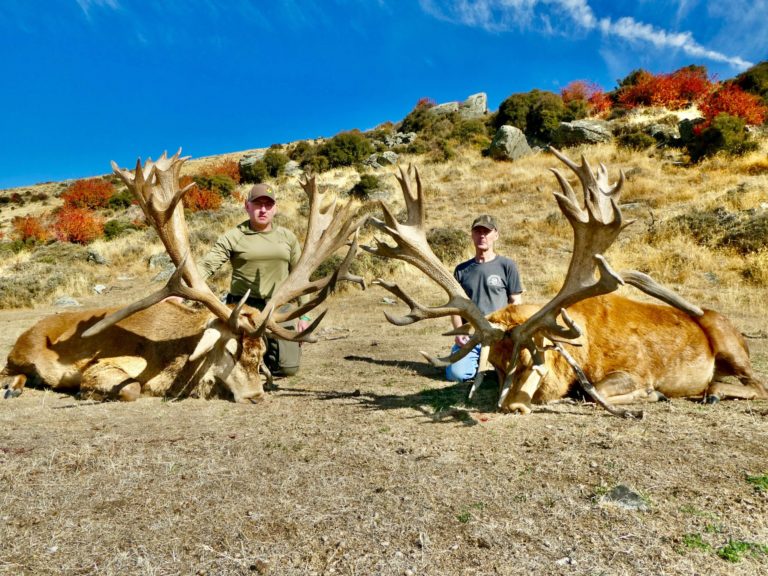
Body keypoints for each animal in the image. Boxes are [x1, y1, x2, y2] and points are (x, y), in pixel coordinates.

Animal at [1, 150, 367, 402]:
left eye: (262, 353)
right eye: (229, 351)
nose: (255, 396)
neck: (171, 362)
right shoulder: (104, 364)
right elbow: (130, 388)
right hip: (22, 351)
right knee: (8, 369)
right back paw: (12, 386)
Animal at [363, 148, 768, 416]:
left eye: (531, 359)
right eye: (496, 364)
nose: (511, 406)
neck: (580, 348)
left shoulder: (636, 369)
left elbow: (594, 392)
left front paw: (651, 396)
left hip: (729, 342)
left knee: (758, 384)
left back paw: (713, 390)